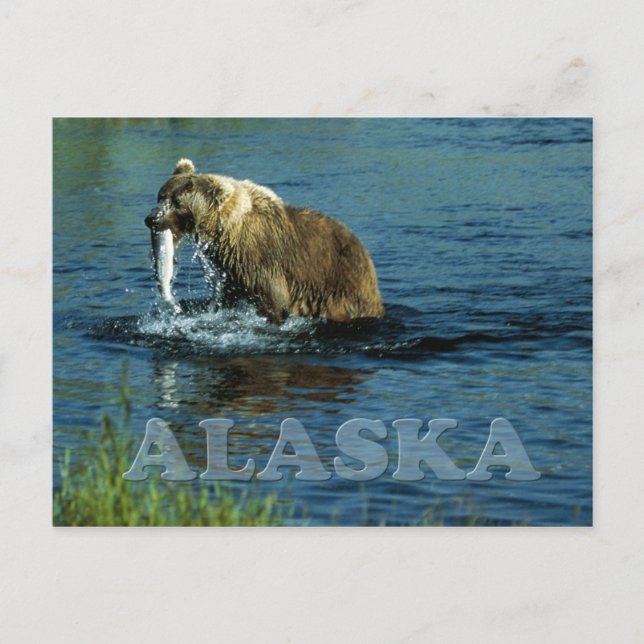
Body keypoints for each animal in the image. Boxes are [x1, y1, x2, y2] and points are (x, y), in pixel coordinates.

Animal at [145, 159, 385, 324]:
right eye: (161, 196)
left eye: (177, 202)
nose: (151, 219)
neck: (227, 231)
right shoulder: (232, 270)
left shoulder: (260, 257)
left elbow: (273, 299)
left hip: (340, 284)